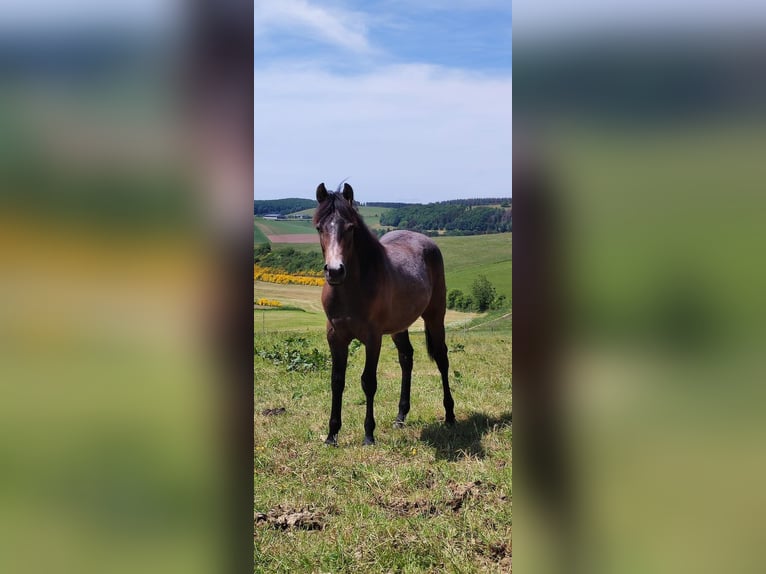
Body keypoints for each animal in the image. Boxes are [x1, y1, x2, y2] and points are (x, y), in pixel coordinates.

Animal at [316, 182, 460, 448]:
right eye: (320, 227)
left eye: (350, 228)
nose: (335, 271)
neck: (352, 290)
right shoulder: (335, 336)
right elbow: (337, 381)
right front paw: (332, 435)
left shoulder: (373, 338)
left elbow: (368, 381)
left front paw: (368, 435)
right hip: (398, 327)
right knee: (407, 358)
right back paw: (400, 416)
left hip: (435, 316)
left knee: (442, 359)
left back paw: (450, 415)